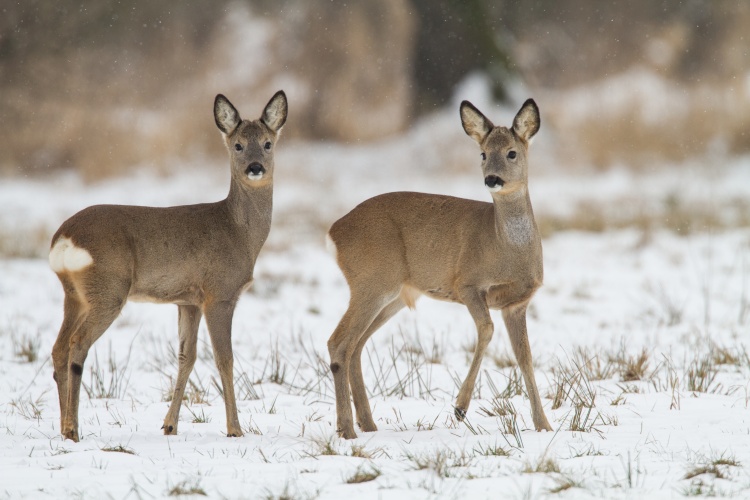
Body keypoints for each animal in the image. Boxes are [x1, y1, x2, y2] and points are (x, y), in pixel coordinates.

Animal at [47, 90, 288, 442]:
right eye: (238, 145)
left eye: (268, 143)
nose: (255, 167)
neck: (238, 232)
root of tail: (64, 237)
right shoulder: (220, 293)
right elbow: (224, 359)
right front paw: (235, 429)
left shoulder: (189, 301)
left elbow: (187, 357)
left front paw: (170, 425)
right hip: (108, 290)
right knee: (77, 344)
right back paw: (73, 429)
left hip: (74, 294)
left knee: (59, 348)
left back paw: (65, 429)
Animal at [328, 96, 552, 438]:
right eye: (483, 153)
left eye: (512, 152)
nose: (492, 179)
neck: (506, 249)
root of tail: (334, 232)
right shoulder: (467, 283)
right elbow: (487, 330)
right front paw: (460, 407)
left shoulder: (517, 303)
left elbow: (525, 358)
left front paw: (544, 425)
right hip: (372, 281)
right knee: (338, 343)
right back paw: (347, 430)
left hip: (391, 296)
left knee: (355, 346)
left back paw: (367, 424)